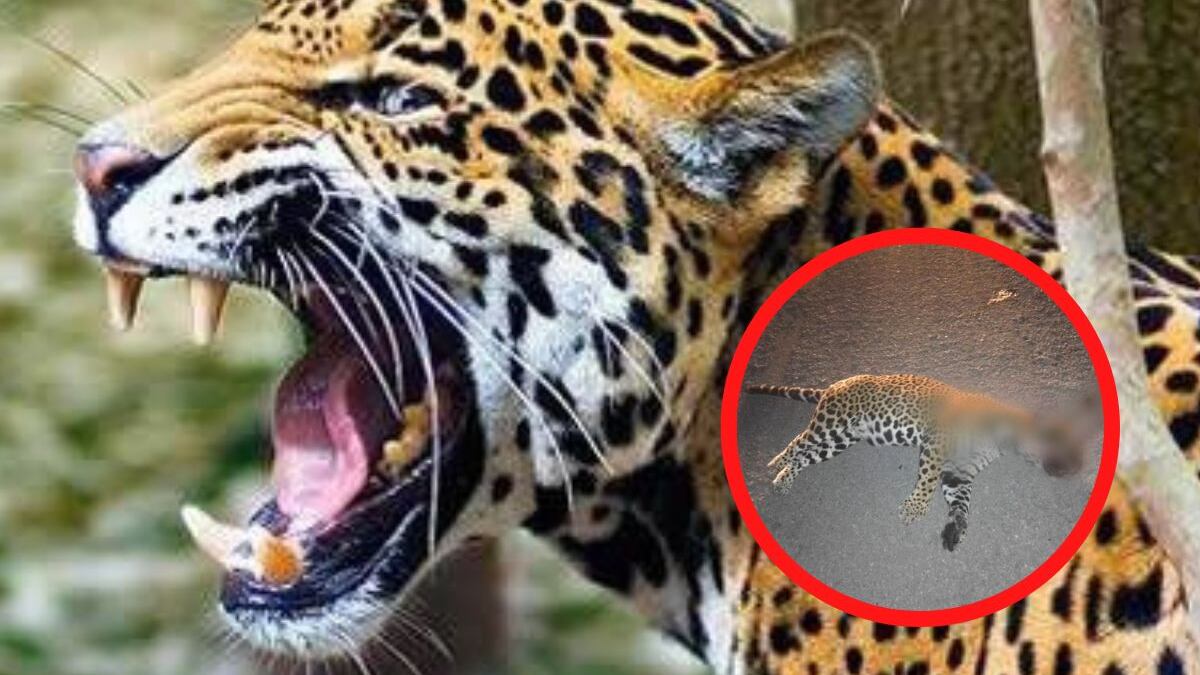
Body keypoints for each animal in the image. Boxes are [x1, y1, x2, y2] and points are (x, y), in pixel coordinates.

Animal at [747, 374, 1092, 552]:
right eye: (1067, 442)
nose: (1080, 466)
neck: (1006, 437)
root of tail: (835, 385)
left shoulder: (959, 472)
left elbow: (960, 500)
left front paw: (955, 529)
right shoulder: (937, 444)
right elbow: (927, 480)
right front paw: (914, 509)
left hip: (839, 440)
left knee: (806, 454)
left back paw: (783, 479)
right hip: (830, 424)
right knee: (797, 442)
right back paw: (776, 463)